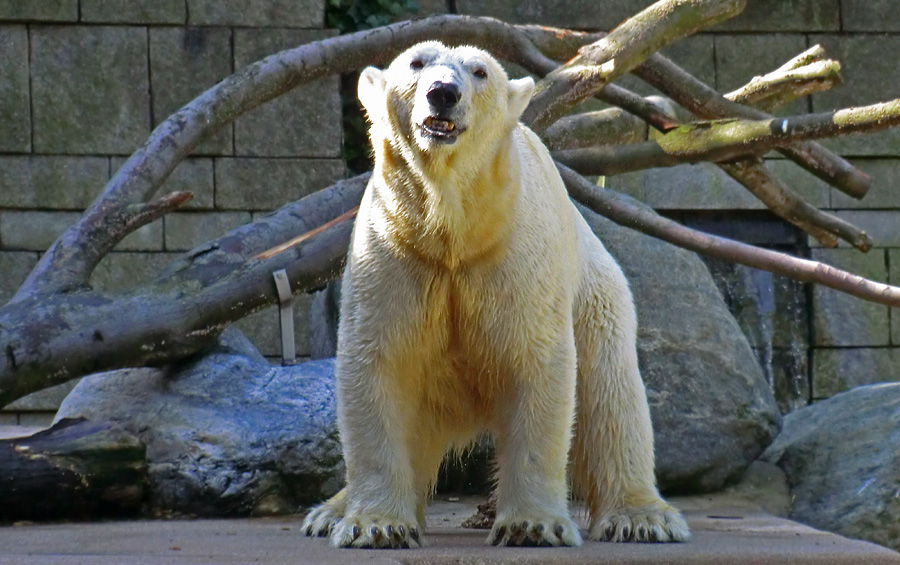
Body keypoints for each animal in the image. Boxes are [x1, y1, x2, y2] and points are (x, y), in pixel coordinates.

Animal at [302, 40, 688, 548]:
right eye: (416, 62)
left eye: (480, 71)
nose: (443, 93)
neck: (454, 228)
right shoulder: (393, 251)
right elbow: (378, 364)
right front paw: (377, 525)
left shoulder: (515, 257)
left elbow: (538, 364)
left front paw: (530, 525)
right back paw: (329, 510)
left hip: (597, 293)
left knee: (611, 393)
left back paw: (643, 517)